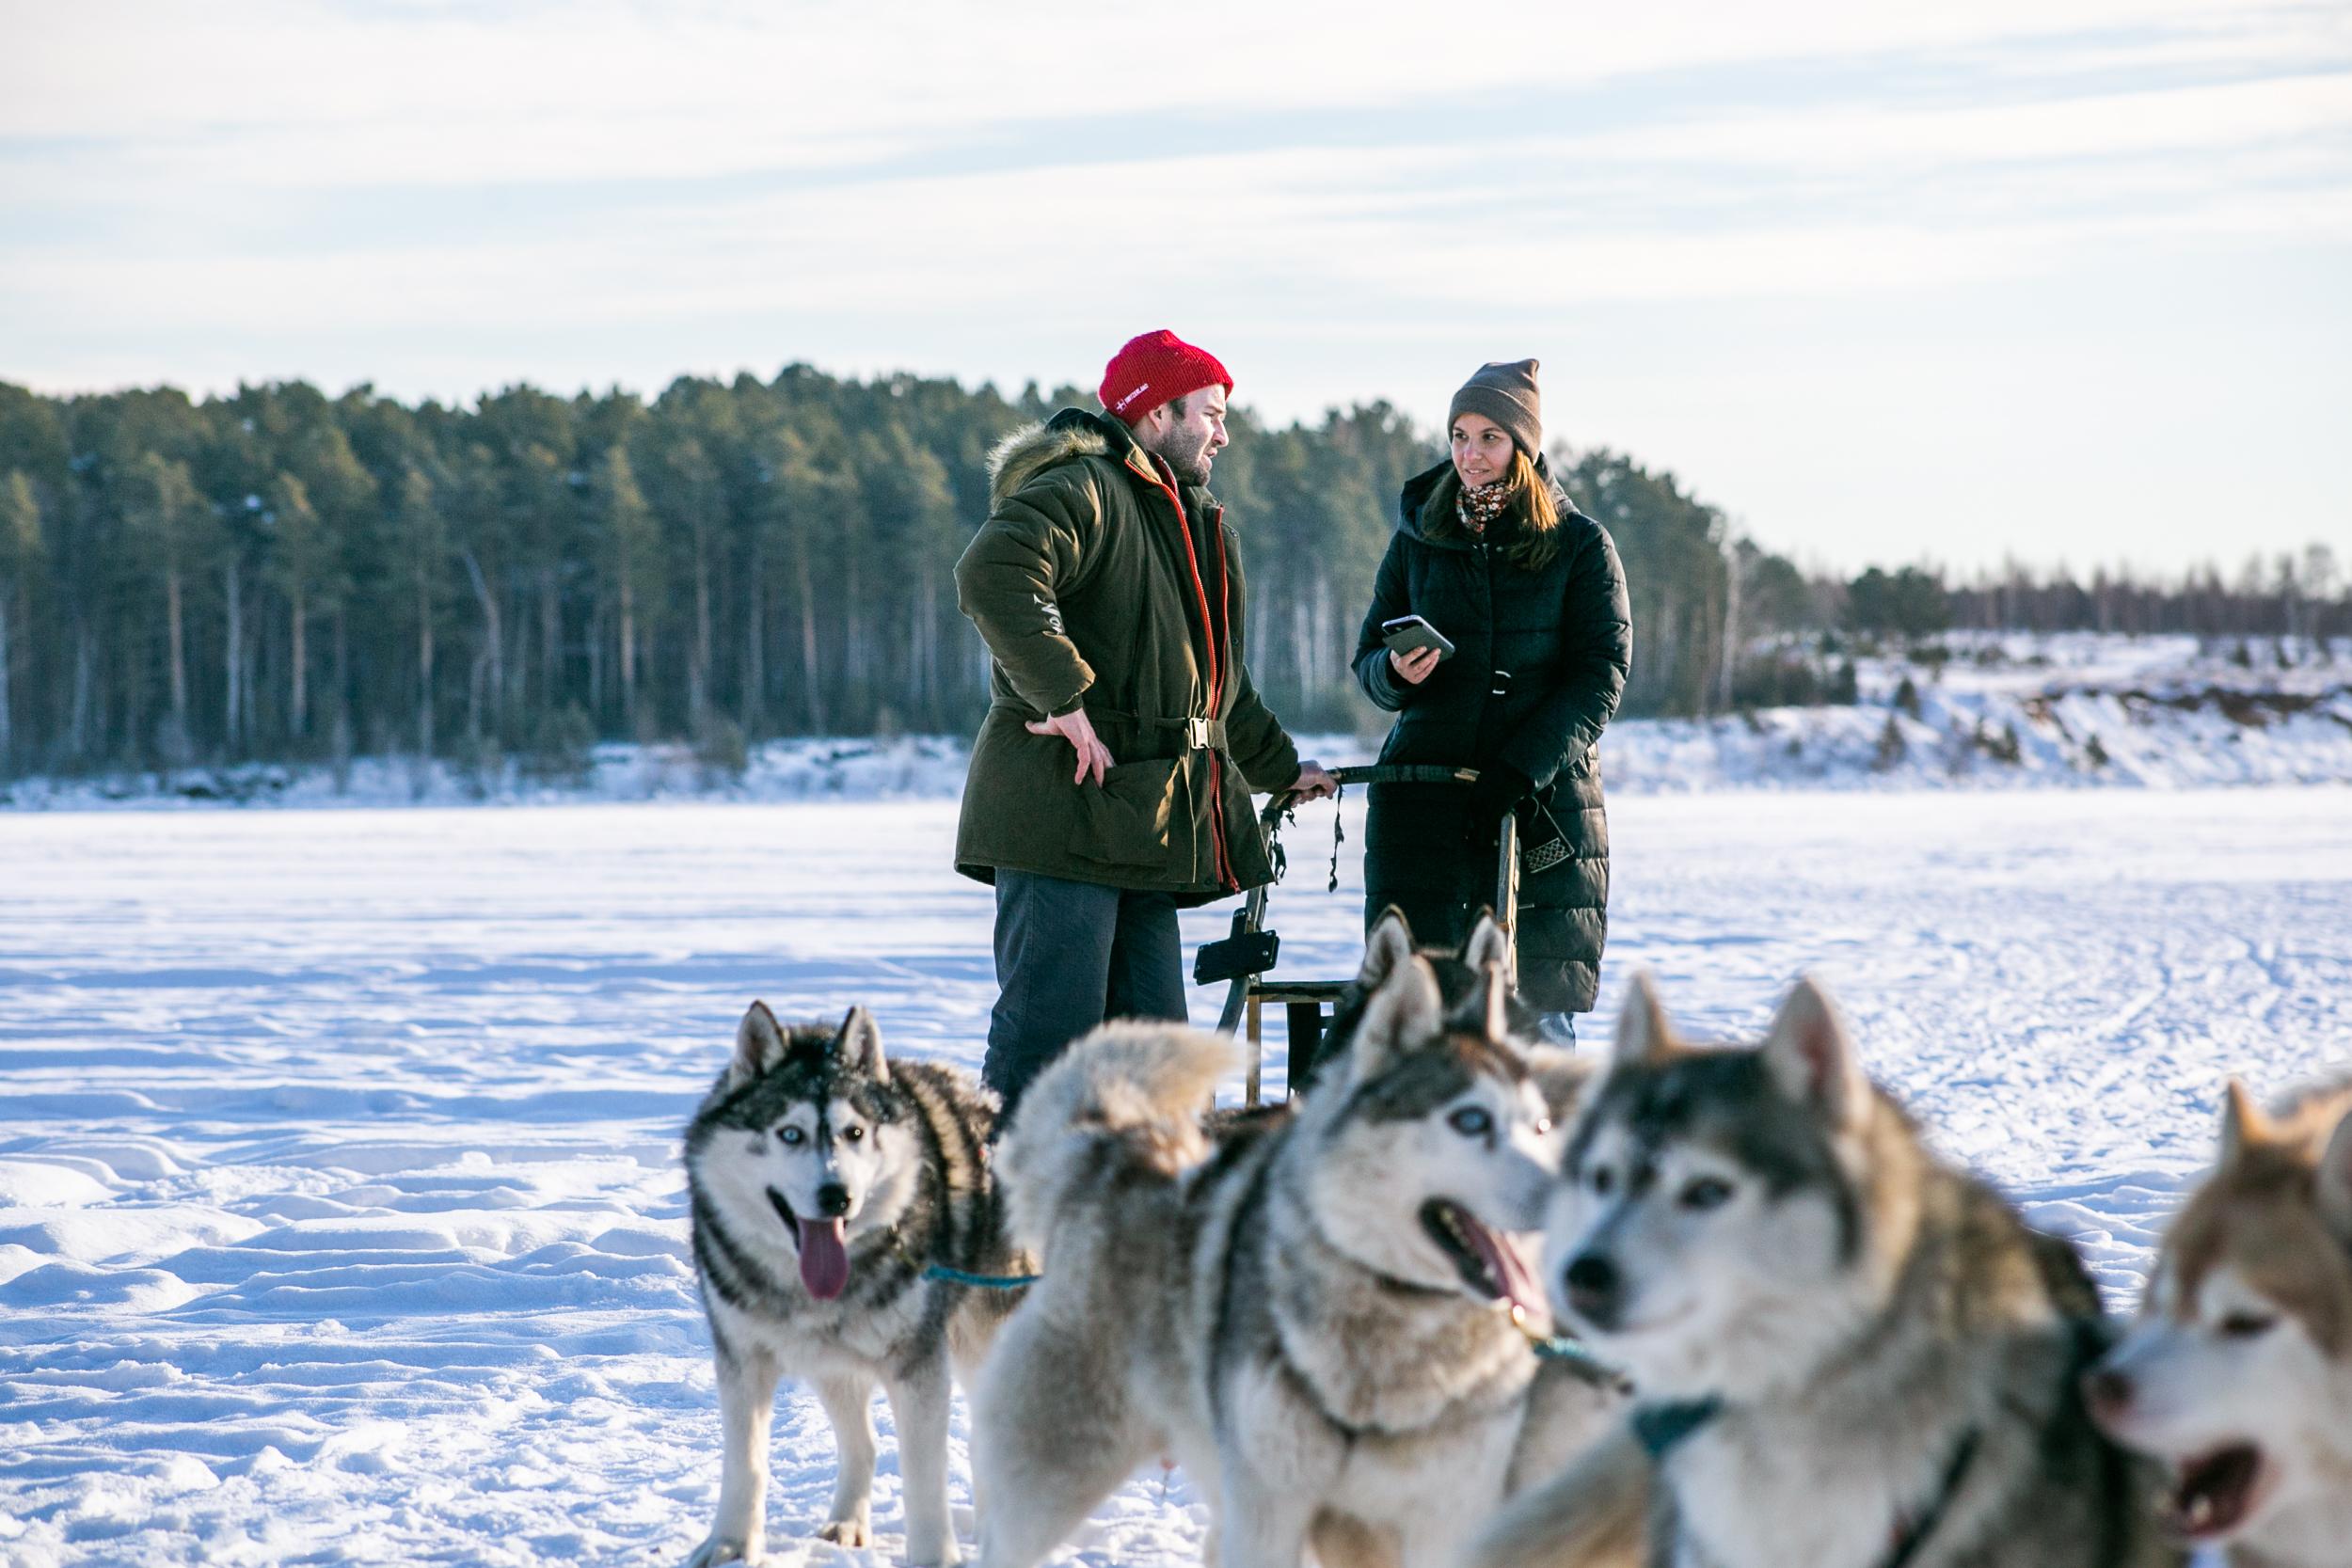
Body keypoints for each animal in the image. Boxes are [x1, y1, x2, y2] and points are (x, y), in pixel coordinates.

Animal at [677, 1006, 1016, 1568]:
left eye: (855, 1132)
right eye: (790, 1134)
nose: (837, 1196)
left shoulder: (917, 1366)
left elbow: (924, 1477)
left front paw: (935, 1557)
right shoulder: (743, 1360)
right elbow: (746, 1463)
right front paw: (729, 1546)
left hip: (983, 1342)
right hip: (830, 1364)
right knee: (864, 1443)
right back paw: (848, 1522)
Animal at [969, 930, 1618, 1568]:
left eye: (1536, 1126)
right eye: (1470, 1120)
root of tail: (1110, 1149)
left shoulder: (1447, 1513)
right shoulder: (1273, 1507)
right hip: (1058, 1474)